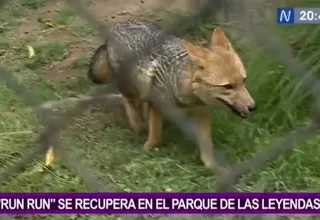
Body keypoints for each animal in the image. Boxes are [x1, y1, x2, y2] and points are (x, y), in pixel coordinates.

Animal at [86, 19, 256, 169]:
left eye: (244, 81)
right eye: (228, 86)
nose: (253, 106)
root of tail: (118, 25)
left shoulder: (202, 113)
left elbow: (206, 145)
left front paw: (213, 167)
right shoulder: (158, 107)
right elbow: (155, 137)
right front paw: (146, 150)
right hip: (131, 90)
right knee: (130, 103)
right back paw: (138, 124)